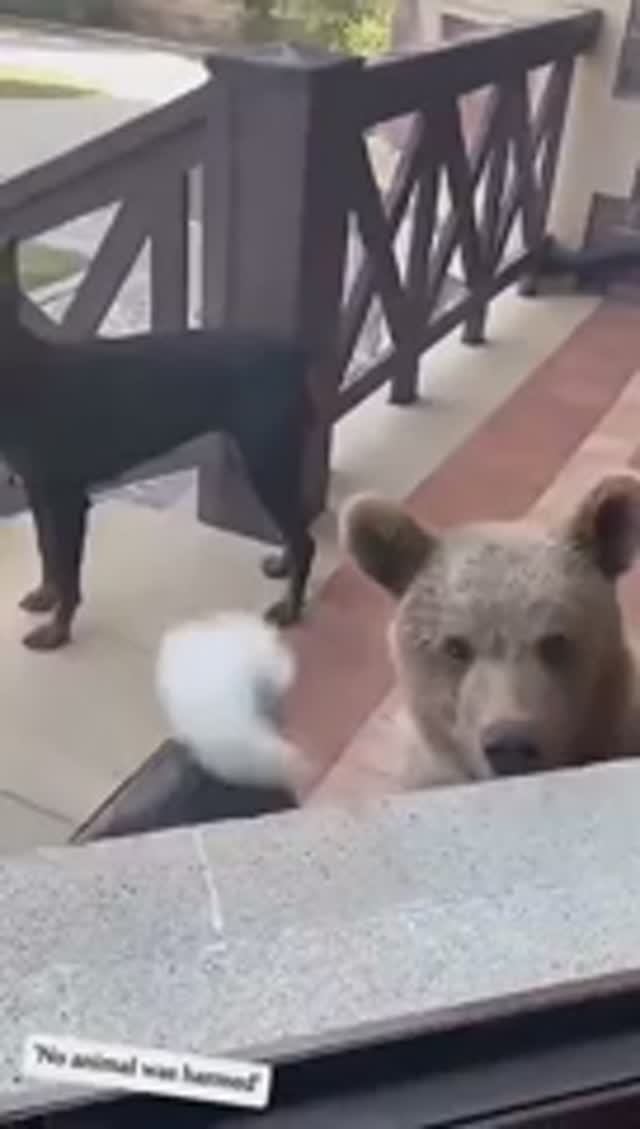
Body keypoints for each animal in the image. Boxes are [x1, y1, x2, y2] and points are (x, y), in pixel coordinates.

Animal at [1, 242, 315, 650]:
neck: (19, 370)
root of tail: (294, 354)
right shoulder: (38, 490)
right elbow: (46, 549)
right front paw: (45, 596)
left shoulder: (67, 499)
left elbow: (68, 568)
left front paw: (57, 630)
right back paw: (283, 566)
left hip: (266, 459)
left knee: (304, 537)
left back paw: (291, 608)